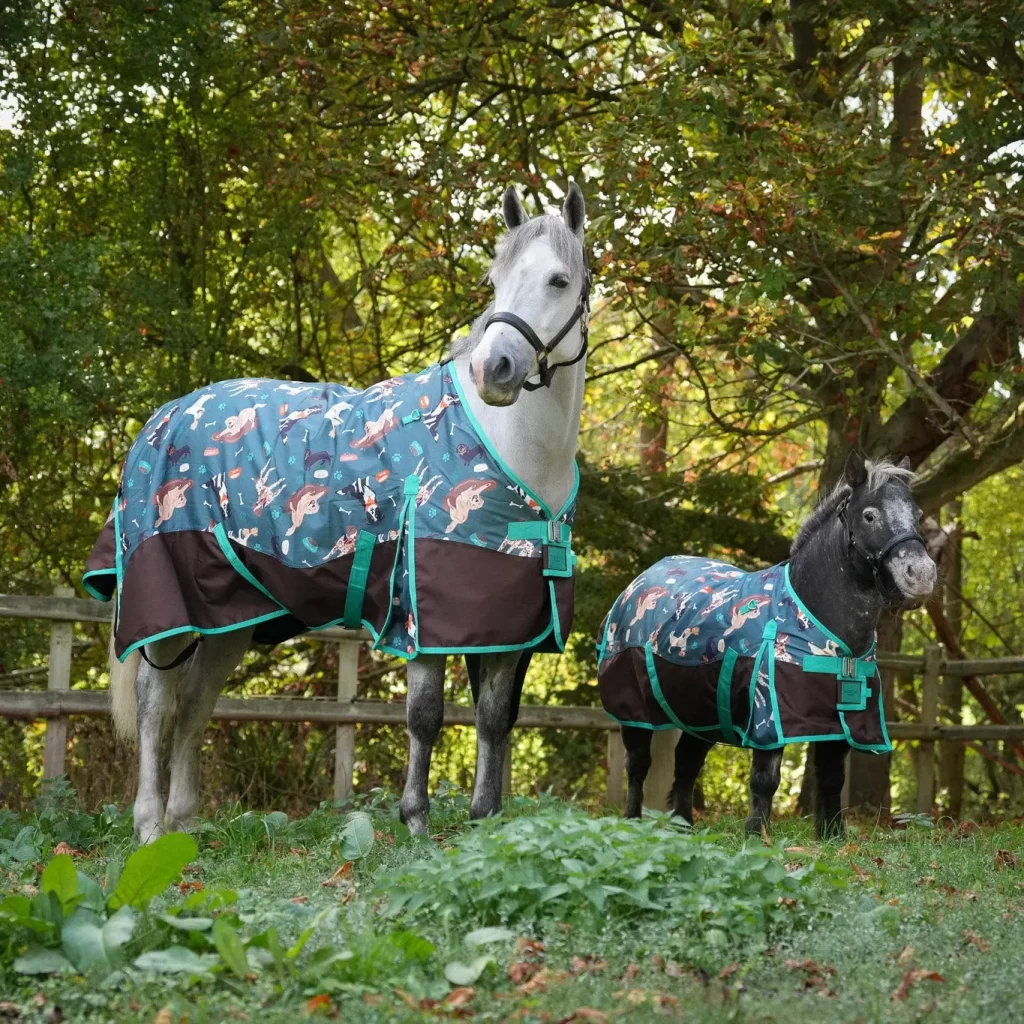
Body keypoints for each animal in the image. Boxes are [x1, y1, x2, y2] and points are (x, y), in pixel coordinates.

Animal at [83, 182, 591, 842]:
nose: (494, 370)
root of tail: (165, 417)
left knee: (194, 703)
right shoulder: (423, 614)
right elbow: (425, 716)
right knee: (155, 699)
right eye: (495, 278)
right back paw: (148, 826)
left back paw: (185, 826)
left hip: (229, 617)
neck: (512, 450)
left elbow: (494, 720)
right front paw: (415, 824)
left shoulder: (507, 621)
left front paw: (484, 824)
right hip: (167, 607)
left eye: (559, 279)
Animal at [597, 453, 937, 839]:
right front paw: (757, 834)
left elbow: (832, 778)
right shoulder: (769, 719)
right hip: (636, 710)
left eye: (918, 514)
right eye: (869, 515)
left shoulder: (840, 722)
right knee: (638, 764)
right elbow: (765, 779)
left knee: (686, 762)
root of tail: (637, 584)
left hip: (703, 713)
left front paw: (833, 836)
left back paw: (682, 825)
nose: (921, 575)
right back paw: (632, 821)